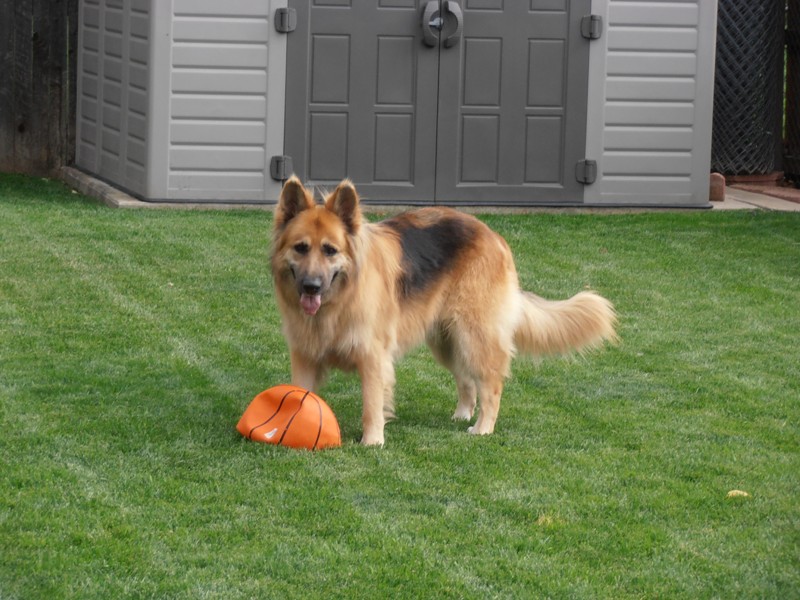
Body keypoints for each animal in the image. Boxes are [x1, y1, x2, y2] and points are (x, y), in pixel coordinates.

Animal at [272, 176, 616, 442]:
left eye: (330, 250)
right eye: (301, 248)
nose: (311, 287)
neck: (339, 300)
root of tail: (493, 235)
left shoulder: (372, 357)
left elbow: (371, 404)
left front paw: (373, 441)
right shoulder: (304, 355)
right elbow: (298, 393)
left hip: (474, 336)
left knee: (491, 384)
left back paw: (483, 428)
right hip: (448, 340)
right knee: (466, 380)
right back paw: (463, 414)